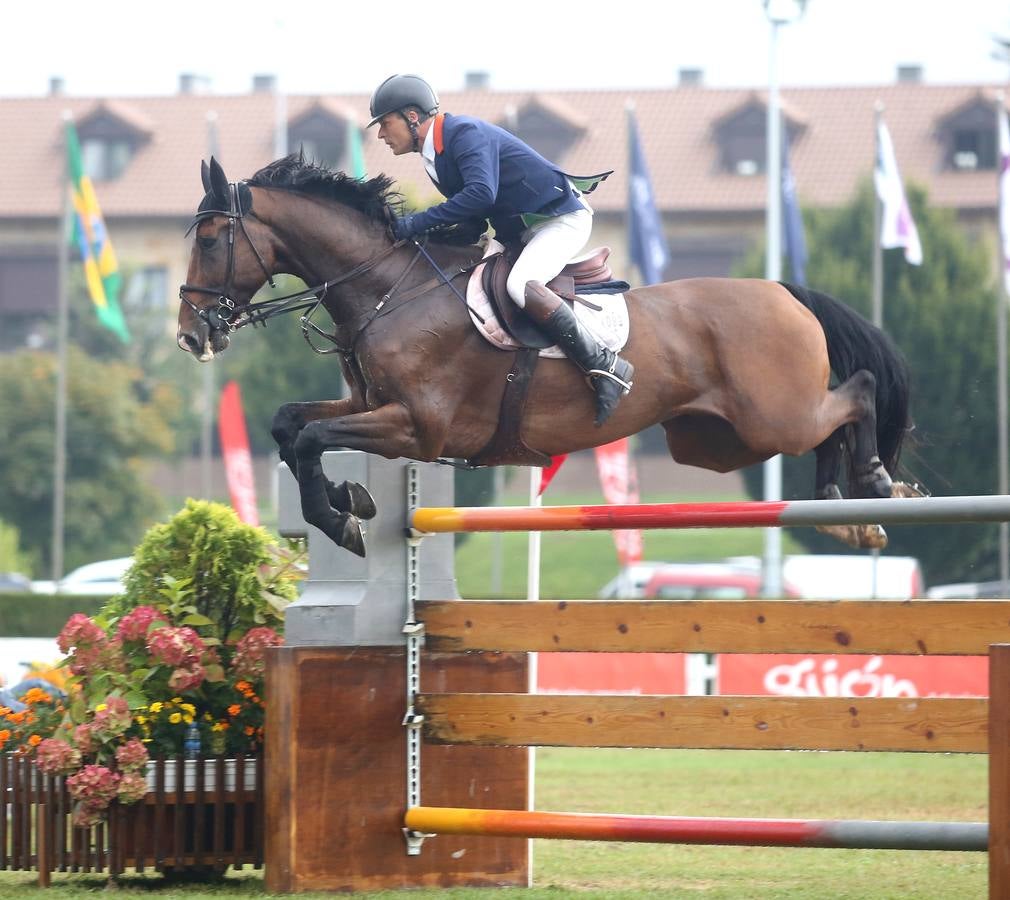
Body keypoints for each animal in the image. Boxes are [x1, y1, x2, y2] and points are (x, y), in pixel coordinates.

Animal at [177, 158, 913, 561]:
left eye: (211, 239)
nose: (190, 335)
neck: (389, 289)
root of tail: (783, 290)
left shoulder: (416, 427)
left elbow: (311, 438)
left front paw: (339, 518)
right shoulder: (367, 405)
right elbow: (290, 424)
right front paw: (346, 500)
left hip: (770, 417)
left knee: (855, 393)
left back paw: (875, 483)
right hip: (722, 441)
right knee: (829, 423)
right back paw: (847, 513)